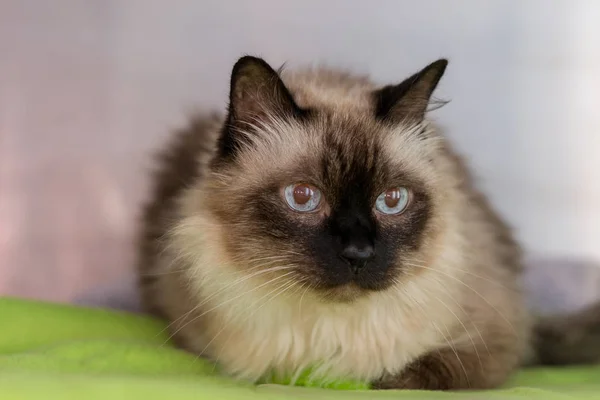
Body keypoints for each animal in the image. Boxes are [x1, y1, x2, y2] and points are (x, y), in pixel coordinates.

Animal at [137, 54, 600, 390]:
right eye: (303, 197)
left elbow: (415, 376)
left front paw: (380, 381)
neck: (330, 336)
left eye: (391, 201)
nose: (358, 253)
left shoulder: (493, 346)